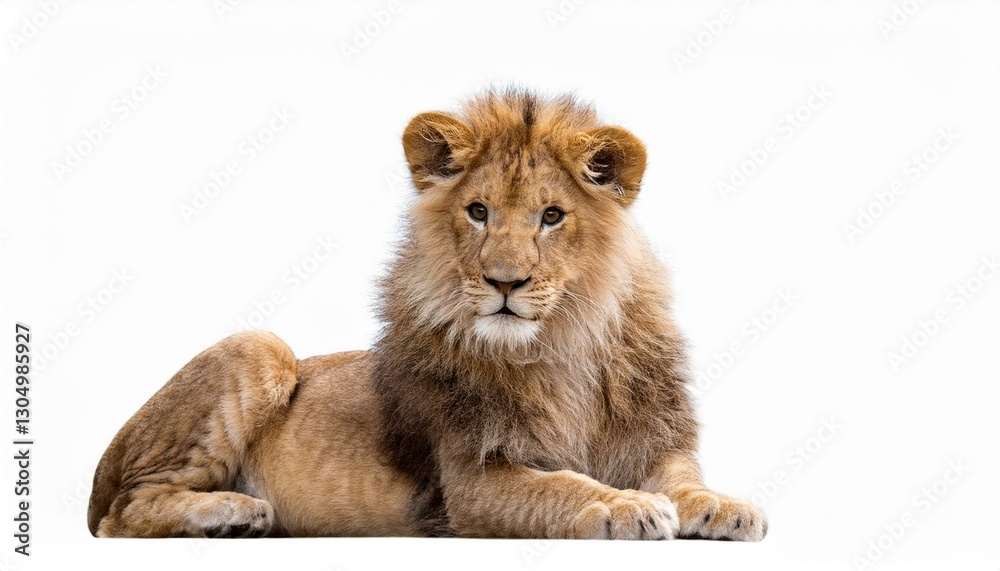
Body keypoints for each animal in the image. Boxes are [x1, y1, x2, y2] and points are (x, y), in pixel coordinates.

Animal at [88, 89, 767, 541]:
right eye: (478, 212)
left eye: (552, 216)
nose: (504, 282)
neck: (561, 344)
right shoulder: (470, 478)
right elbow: (557, 487)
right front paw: (624, 506)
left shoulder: (653, 439)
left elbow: (683, 477)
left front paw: (725, 506)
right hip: (260, 345)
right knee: (124, 513)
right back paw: (232, 513)